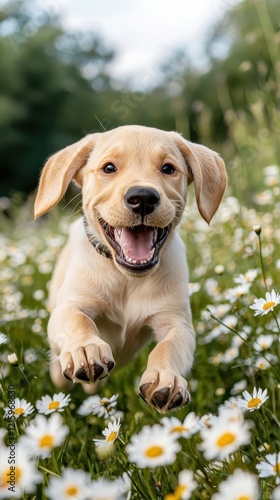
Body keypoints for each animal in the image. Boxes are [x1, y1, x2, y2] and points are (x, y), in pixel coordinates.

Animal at [34, 126, 226, 414]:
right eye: (109, 168)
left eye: (168, 168)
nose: (143, 198)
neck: (126, 278)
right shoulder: (71, 304)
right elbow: (77, 319)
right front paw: (85, 349)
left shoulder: (177, 322)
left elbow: (168, 347)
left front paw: (165, 379)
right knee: (58, 366)